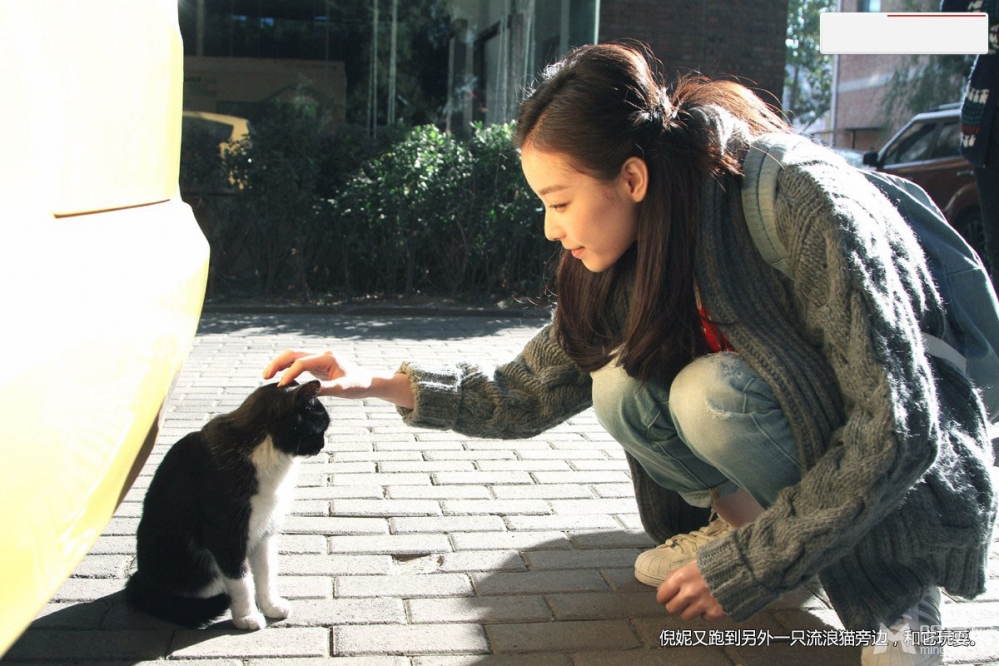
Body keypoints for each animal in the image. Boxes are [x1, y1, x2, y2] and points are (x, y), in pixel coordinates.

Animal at [127, 378, 330, 628]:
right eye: (320, 429)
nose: (323, 445)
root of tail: (139, 582)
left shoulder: (266, 529)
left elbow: (266, 572)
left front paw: (271, 606)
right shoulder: (225, 532)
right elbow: (240, 577)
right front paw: (247, 617)